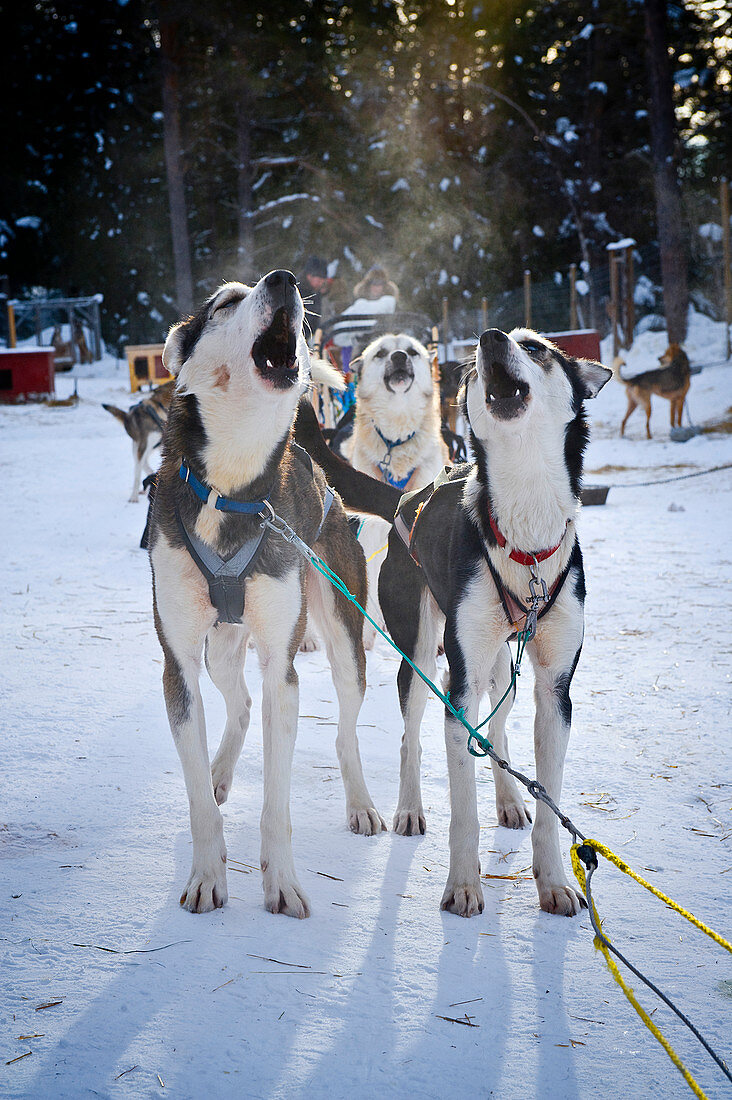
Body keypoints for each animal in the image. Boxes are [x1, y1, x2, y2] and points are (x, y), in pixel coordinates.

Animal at [147, 272, 383, 919]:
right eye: (226, 302)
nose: (284, 281)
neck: (230, 488)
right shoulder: (179, 664)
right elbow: (198, 799)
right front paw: (207, 876)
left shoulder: (283, 667)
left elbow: (277, 803)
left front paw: (282, 883)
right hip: (221, 651)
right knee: (240, 705)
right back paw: (221, 769)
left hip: (344, 642)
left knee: (346, 732)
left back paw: (362, 804)